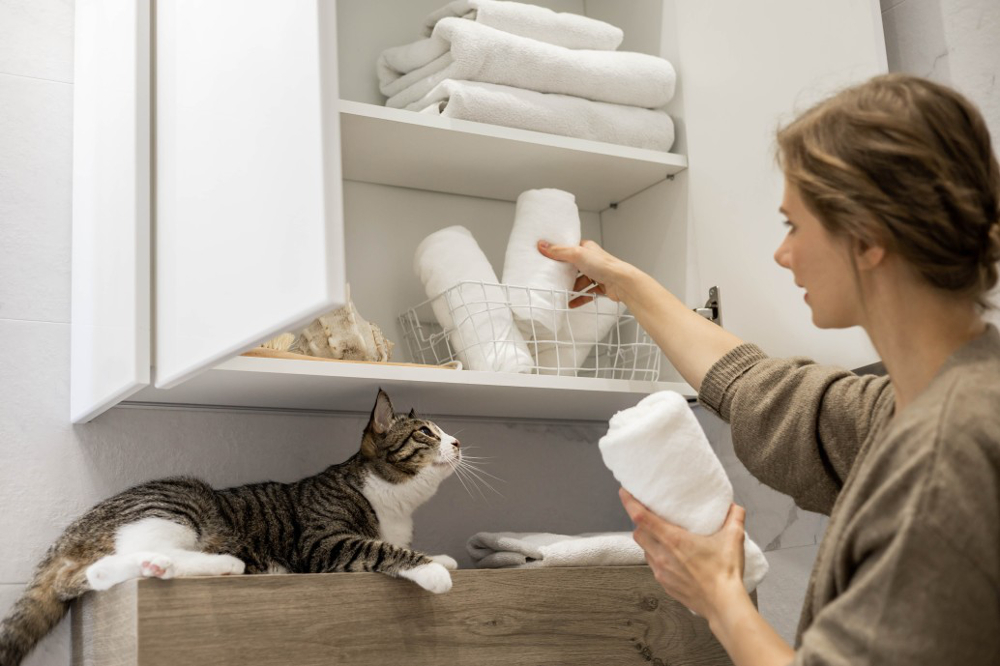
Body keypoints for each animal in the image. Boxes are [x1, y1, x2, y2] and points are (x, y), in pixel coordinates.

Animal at [0, 390, 460, 664]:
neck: (395, 504)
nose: (457, 442)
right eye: (426, 432)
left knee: (89, 575)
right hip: (175, 505)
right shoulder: (324, 542)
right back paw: (214, 564)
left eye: (443, 431)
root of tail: (70, 533)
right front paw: (431, 571)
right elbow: (380, 549)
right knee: (126, 556)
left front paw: (442, 557)